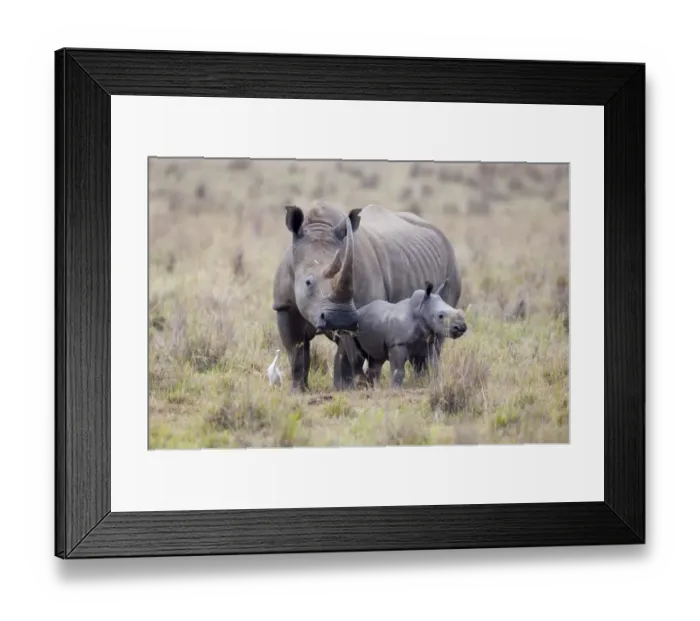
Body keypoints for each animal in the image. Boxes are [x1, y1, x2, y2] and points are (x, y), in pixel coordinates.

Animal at [271, 199, 462, 392]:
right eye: (308, 282)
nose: (339, 318)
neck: (320, 226)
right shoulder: (284, 306)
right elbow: (296, 352)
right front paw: (298, 391)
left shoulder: (355, 315)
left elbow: (345, 353)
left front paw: (345, 389)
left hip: (451, 267)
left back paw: (424, 382)